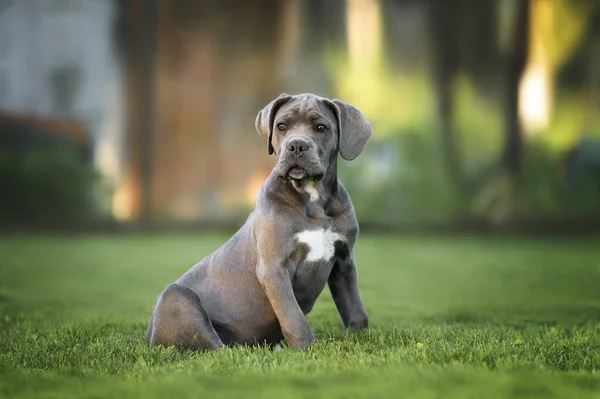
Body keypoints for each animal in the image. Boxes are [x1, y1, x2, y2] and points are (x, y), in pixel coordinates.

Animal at [145, 93, 370, 350]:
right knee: (216, 347)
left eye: (321, 127)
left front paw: (361, 336)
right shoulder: (274, 268)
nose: (296, 145)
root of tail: (148, 336)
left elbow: (354, 306)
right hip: (176, 296)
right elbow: (293, 316)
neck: (313, 198)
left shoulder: (344, 261)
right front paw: (306, 348)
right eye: (281, 126)